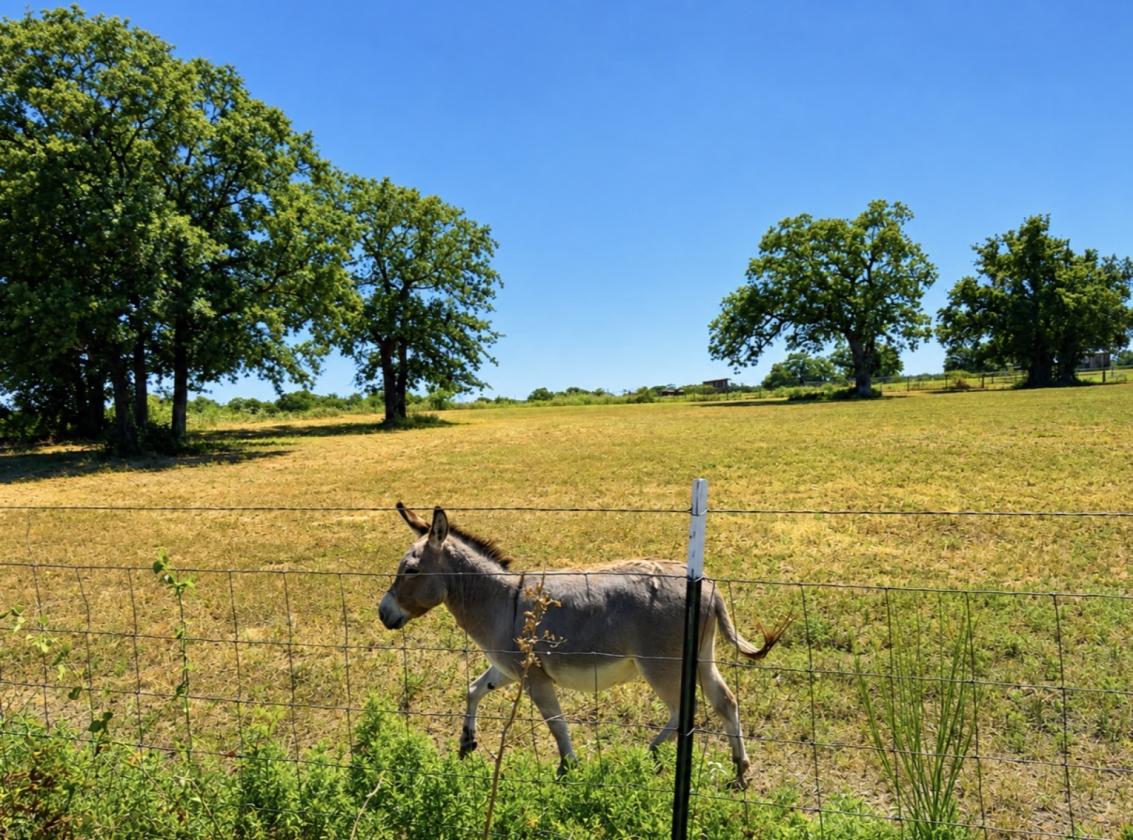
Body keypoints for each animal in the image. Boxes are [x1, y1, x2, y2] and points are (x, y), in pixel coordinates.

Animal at [378, 503, 788, 788]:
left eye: (411, 571)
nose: (383, 614)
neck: (499, 600)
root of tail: (709, 587)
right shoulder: (507, 668)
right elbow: (473, 688)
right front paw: (467, 741)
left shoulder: (533, 678)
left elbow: (556, 723)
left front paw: (567, 767)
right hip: (702, 658)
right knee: (725, 702)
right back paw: (740, 771)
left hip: (661, 665)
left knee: (684, 713)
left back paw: (651, 753)